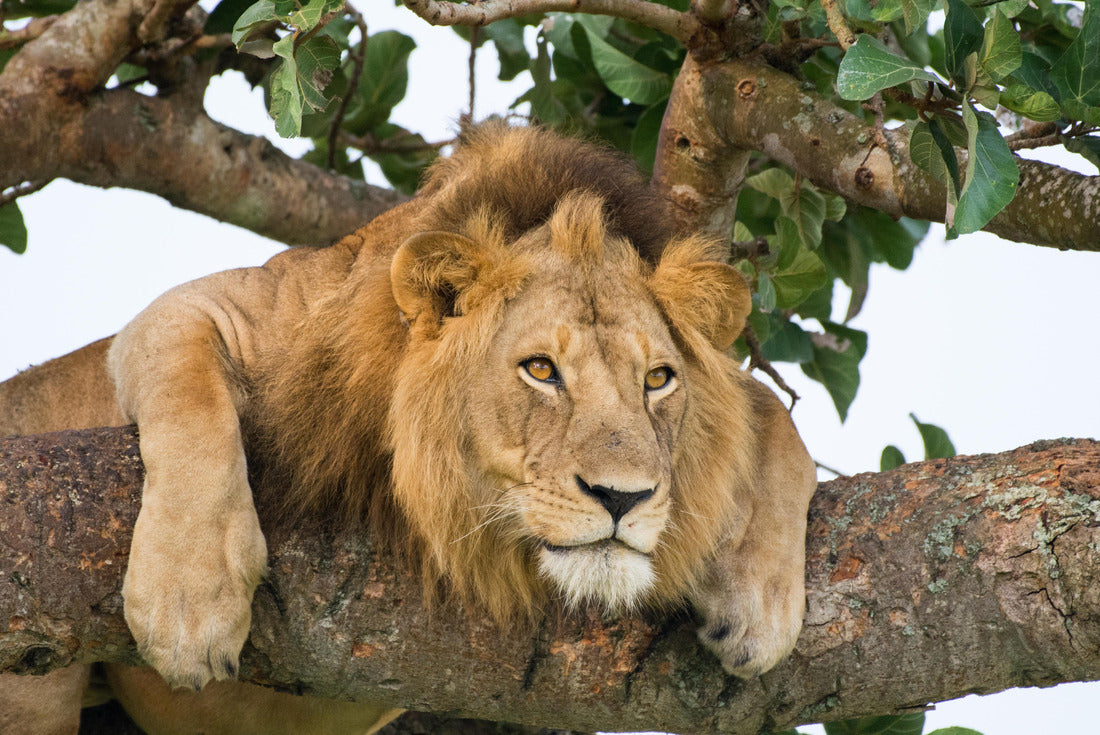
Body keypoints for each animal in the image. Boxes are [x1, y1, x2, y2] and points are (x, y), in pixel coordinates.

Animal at [0, 123, 817, 735]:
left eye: (657, 380)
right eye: (541, 369)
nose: (623, 498)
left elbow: (772, 414)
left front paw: (759, 602)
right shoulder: (198, 312)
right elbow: (191, 400)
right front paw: (188, 604)